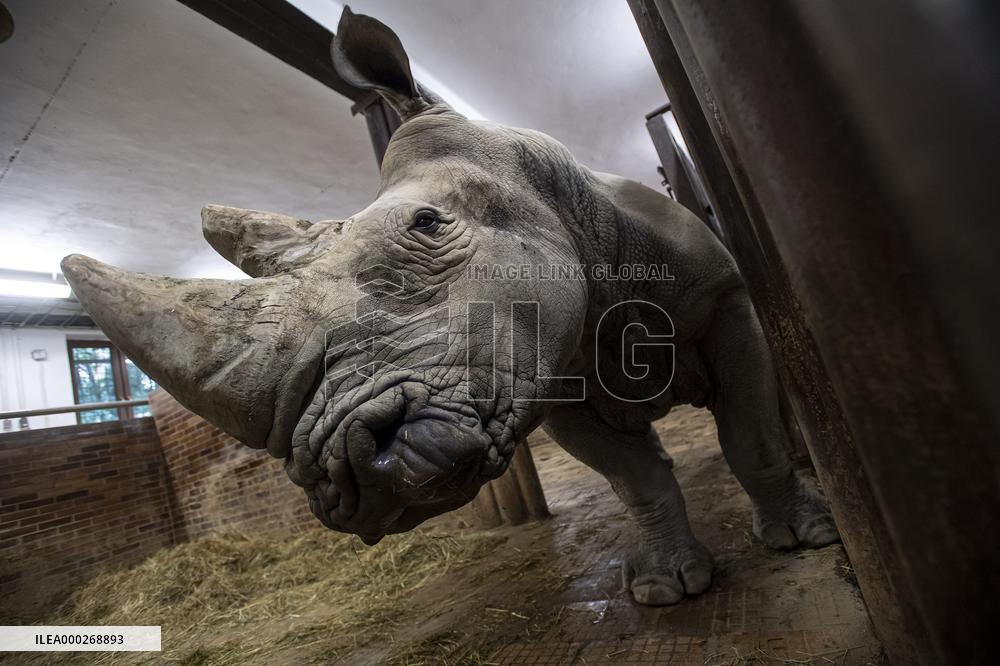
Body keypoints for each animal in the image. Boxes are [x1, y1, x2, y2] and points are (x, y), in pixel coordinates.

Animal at [61, 8, 838, 606]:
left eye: (429, 225)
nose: (352, 467)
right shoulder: (542, 368)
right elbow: (634, 476)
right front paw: (665, 587)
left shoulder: (724, 299)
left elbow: (749, 433)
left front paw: (806, 535)